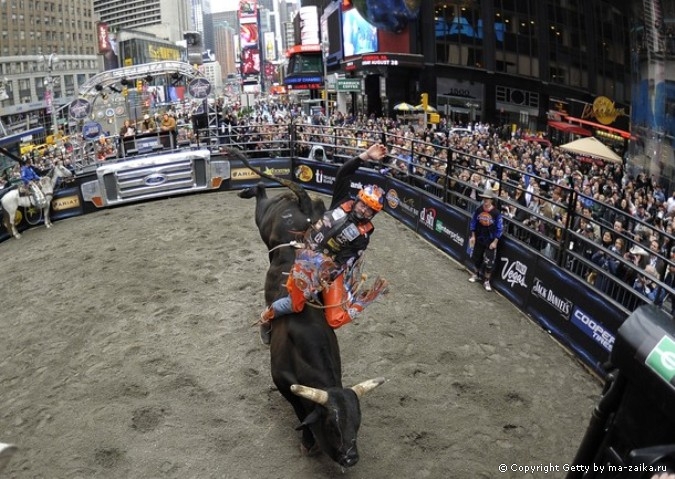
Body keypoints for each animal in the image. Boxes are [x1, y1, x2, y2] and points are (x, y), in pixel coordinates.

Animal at [238, 182, 386, 466]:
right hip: (266, 221)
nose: (351, 458)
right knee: (261, 199)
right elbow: (300, 411)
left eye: (357, 423)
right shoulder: (282, 382)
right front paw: (308, 443)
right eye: (332, 426)